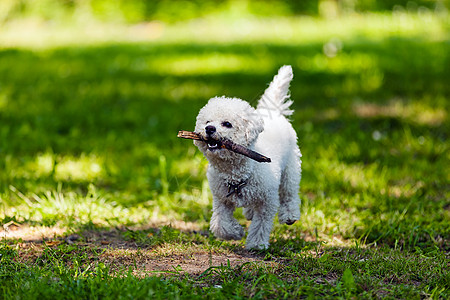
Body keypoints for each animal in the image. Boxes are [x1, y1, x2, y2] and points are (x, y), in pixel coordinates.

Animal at [194, 66, 302, 251]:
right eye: (207, 121)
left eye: (227, 124)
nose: (209, 128)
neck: (236, 174)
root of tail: (272, 111)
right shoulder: (221, 199)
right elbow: (220, 224)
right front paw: (236, 232)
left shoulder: (267, 202)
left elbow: (261, 224)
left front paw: (256, 244)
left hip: (291, 169)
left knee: (289, 193)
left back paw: (289, 214)